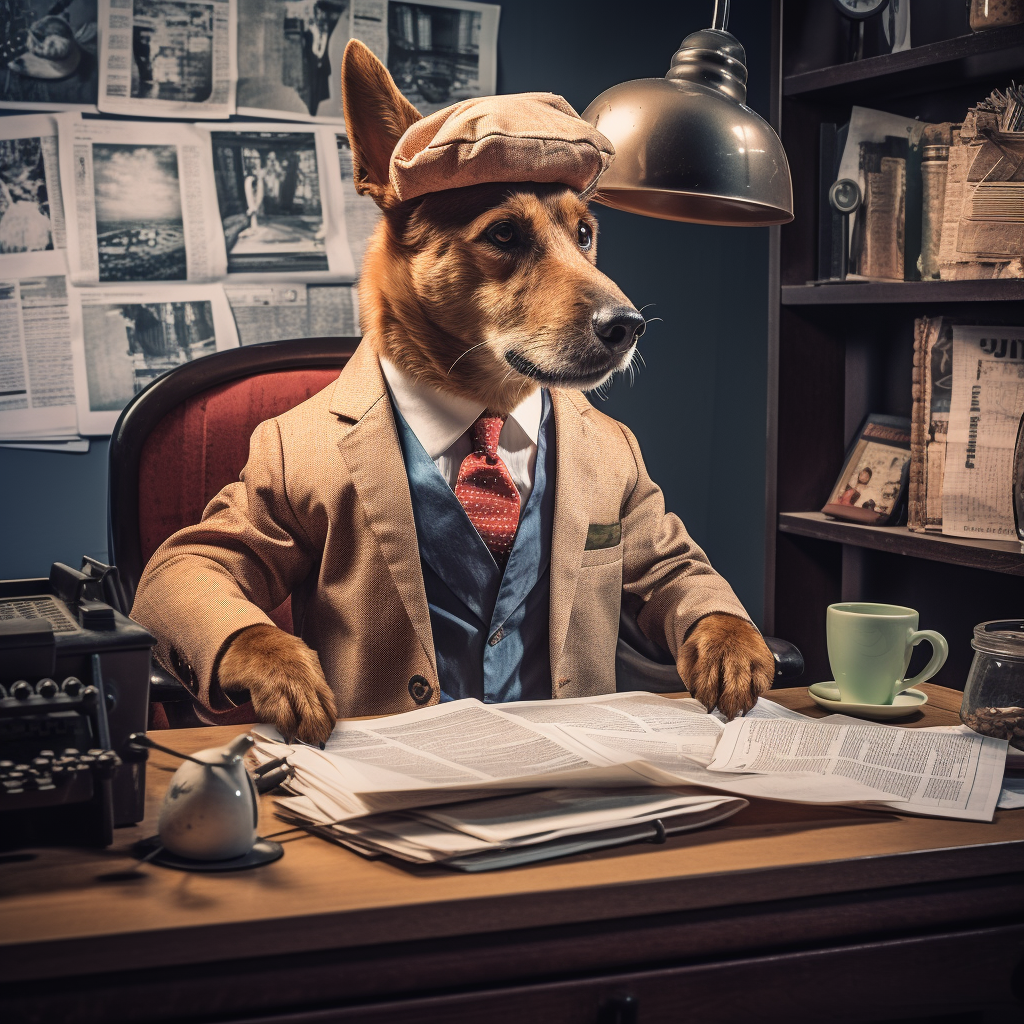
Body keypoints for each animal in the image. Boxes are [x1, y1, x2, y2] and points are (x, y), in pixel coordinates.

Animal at [136, 39, 774, 745]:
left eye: (584, 235)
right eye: (503, 235)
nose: (629, 326)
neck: (486, 409)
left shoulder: (651, 528)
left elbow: (687, 573)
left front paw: (735, 650)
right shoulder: (219, 530)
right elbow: (197, 562)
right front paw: (287, 670)